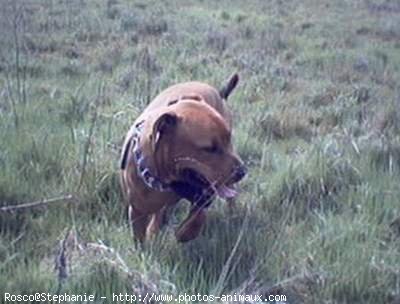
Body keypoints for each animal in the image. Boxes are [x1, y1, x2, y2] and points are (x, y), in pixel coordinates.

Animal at [120, 75, 245, 243]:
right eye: (209, 148)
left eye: (229, 139)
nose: (243, 171)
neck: (165, 183)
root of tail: (217, 92)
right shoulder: (137, 212)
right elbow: (141, 238)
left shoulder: (204, 195)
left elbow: (197, 218)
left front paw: (183, 233)